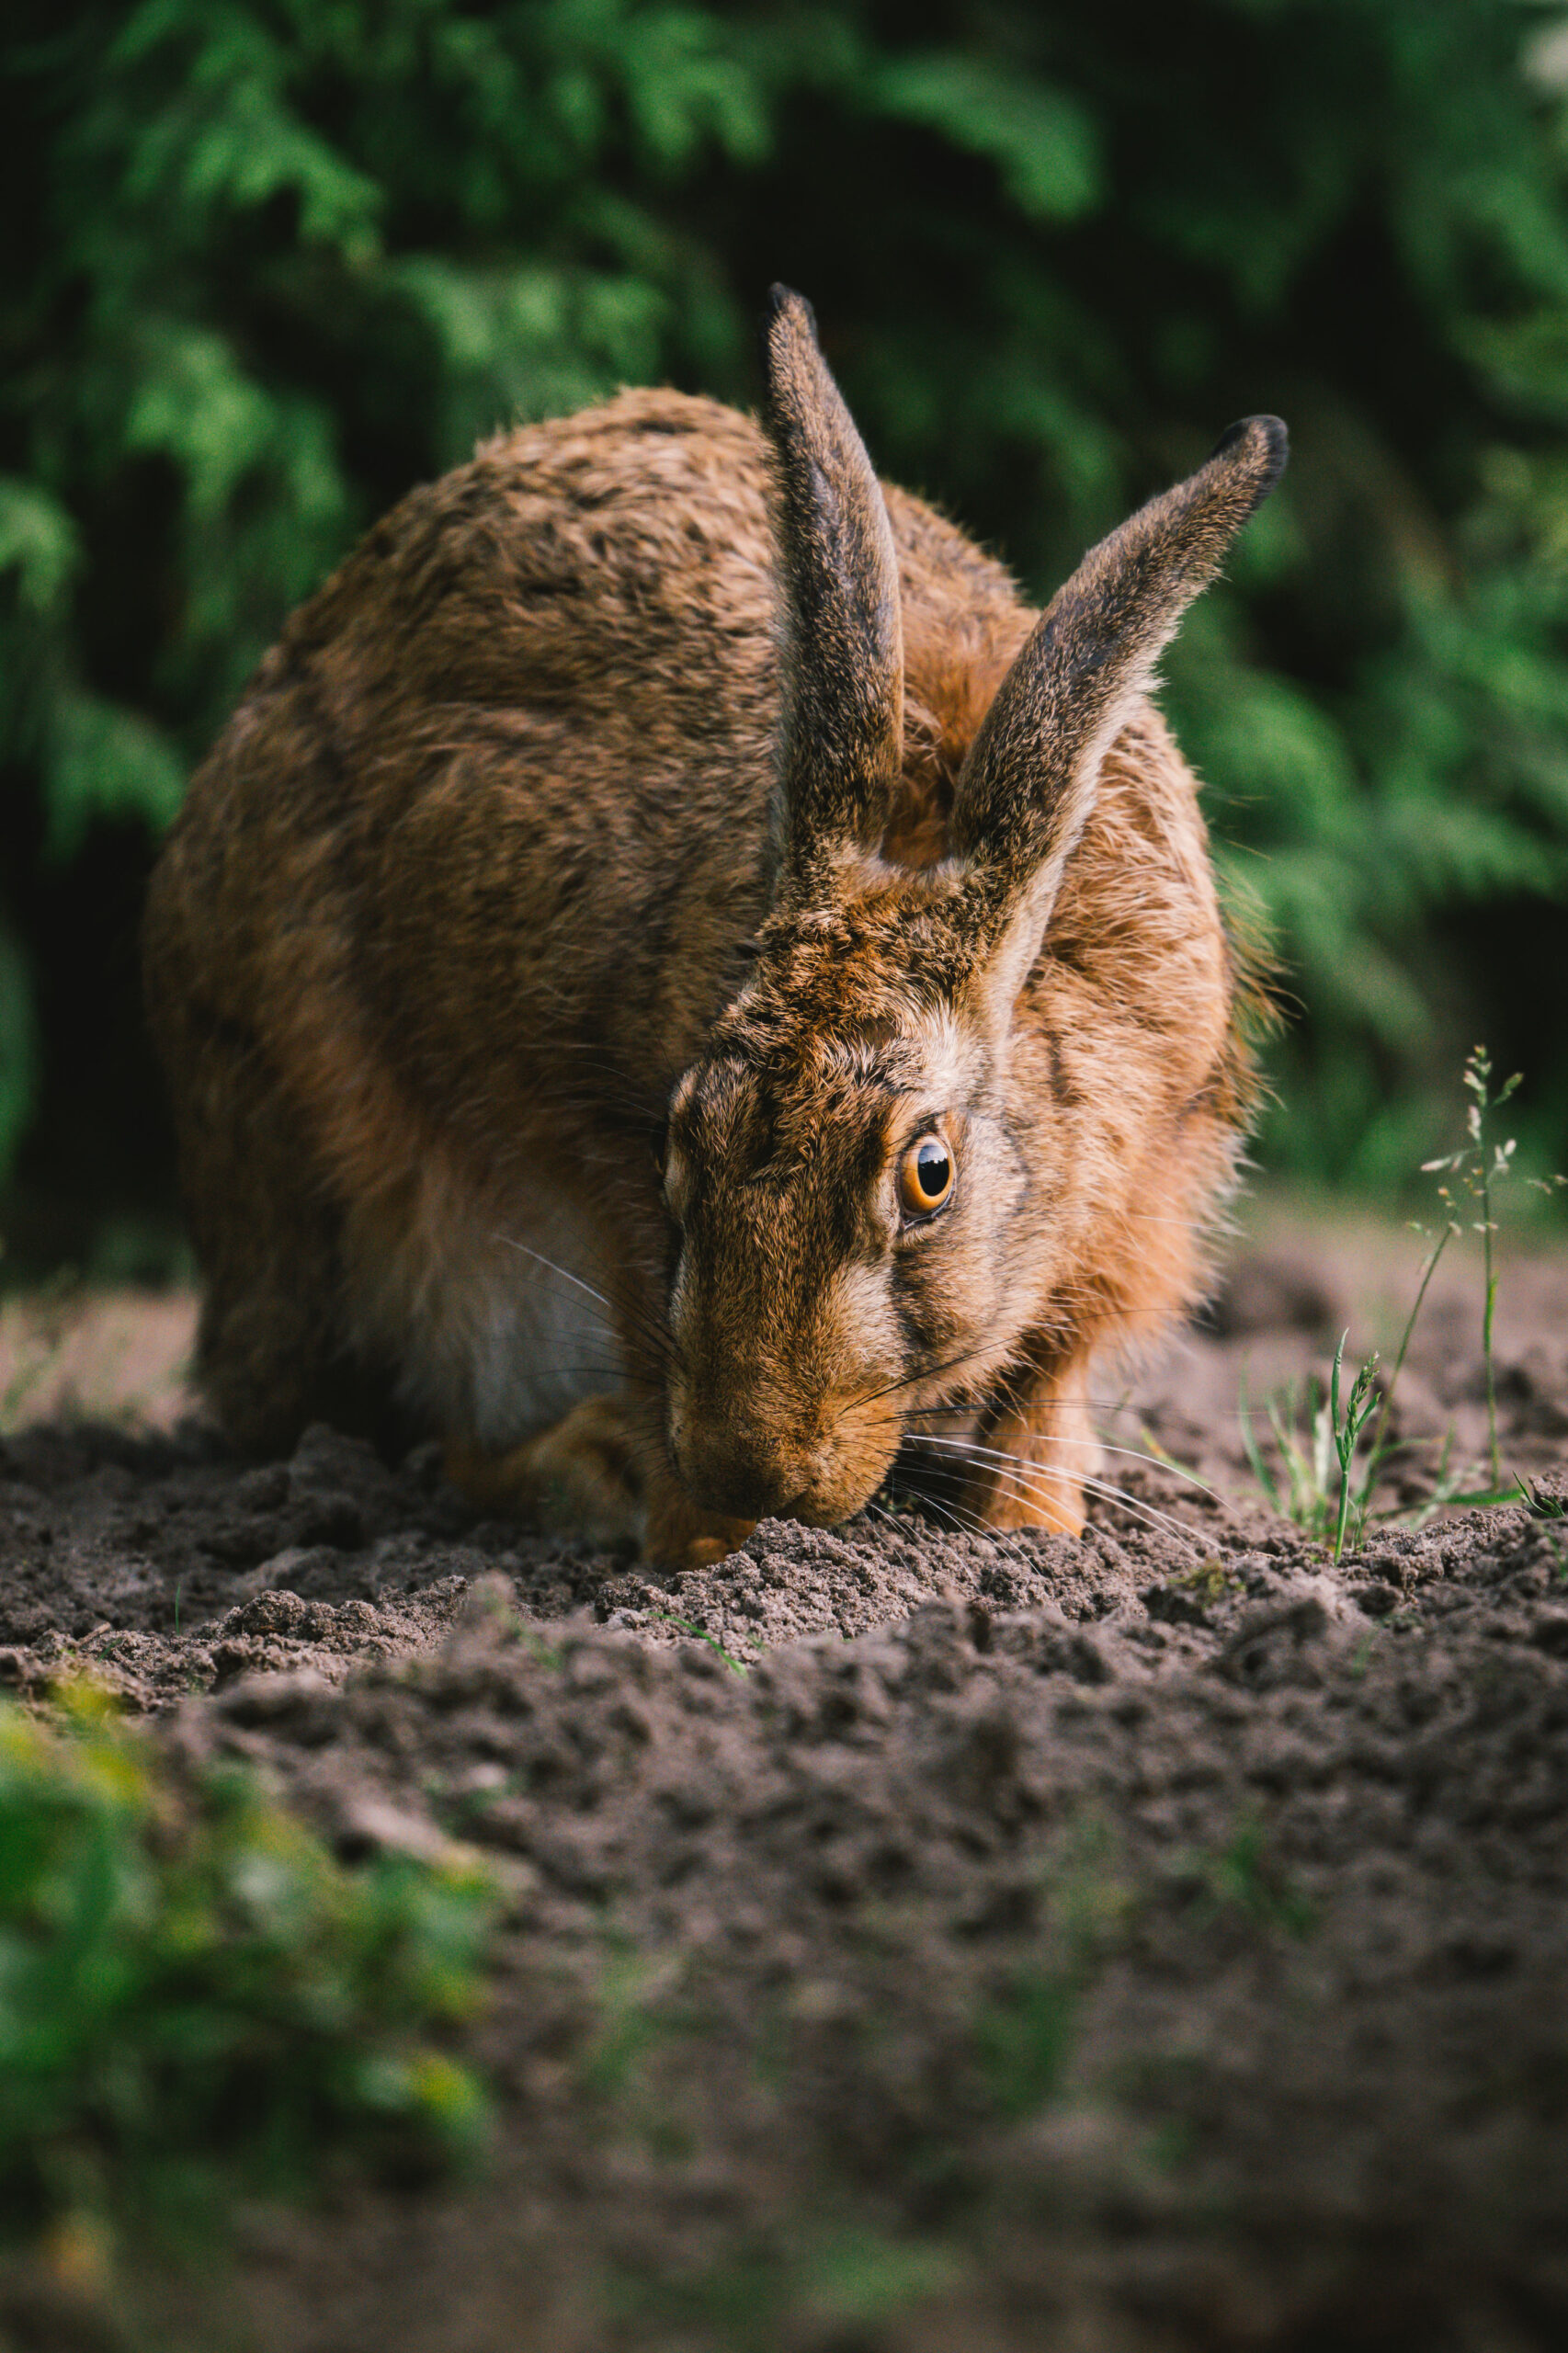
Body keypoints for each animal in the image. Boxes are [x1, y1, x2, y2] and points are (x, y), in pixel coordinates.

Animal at [143, 286, 1285, 1571]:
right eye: (680, 1132)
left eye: (928, 1173)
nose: (757, 1465)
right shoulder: (591, 1146)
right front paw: (701, 1545)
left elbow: (1046, 1390)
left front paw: (1028, 1530)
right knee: (441, 1435)